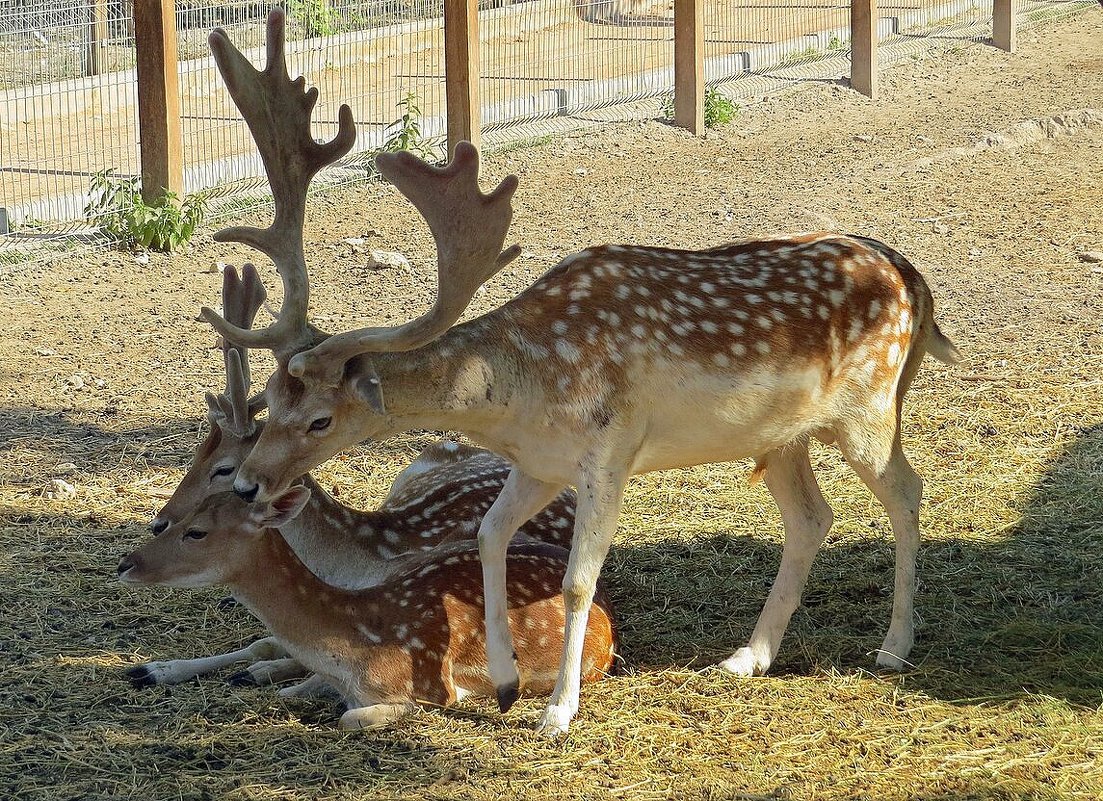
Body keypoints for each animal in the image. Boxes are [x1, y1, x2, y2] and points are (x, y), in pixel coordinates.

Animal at [202, 10, 961, 741]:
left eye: (321, 418)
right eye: (271, 398)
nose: (246, 483)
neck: (520, 395)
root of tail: (912, 279)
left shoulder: (609, 452)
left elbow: (576, 580)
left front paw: (557, 709)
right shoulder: (538, 464)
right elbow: (489, 537)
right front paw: (507, 681)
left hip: (869, 408)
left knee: (906, 490)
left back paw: (893, 646)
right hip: (780, 437)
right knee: (811, 516)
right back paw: (747, 656)